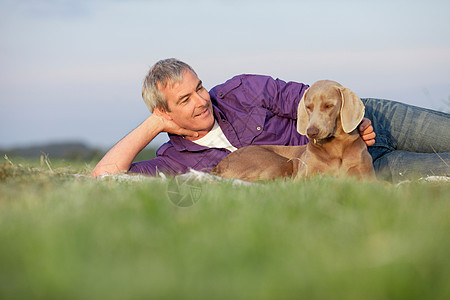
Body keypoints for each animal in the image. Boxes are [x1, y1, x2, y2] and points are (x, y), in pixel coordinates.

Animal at [213, 79, 374, 182]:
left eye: (328, 106)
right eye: (308, 107)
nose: (311, 132)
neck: (336, 147)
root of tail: (218, 167)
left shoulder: (367, 177)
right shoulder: (303, 177)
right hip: (279, 162)